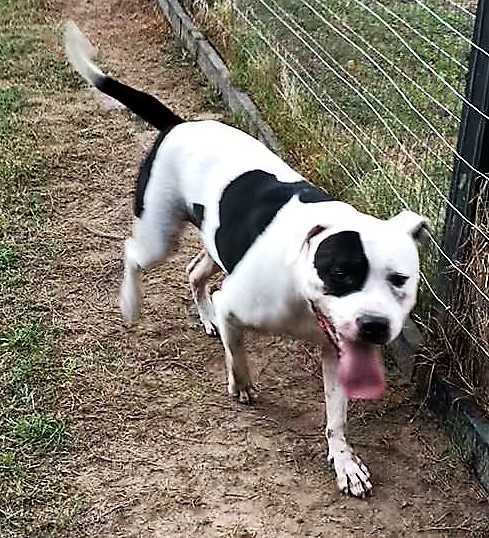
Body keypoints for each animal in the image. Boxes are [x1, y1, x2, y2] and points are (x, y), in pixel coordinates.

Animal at [66, 23, 428, 496]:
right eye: (340, 272)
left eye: (400, 279)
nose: (374, 326)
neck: (300, 289)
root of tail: (178, 125)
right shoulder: (237, 306)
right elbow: (236, 351)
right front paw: (241, 383)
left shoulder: (337, 354)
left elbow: (336, 418)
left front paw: (345, 462)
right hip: (157, 235)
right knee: (134, 254)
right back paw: (132, 304)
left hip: (214, 244)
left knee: (194, 272)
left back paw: (204, 318)